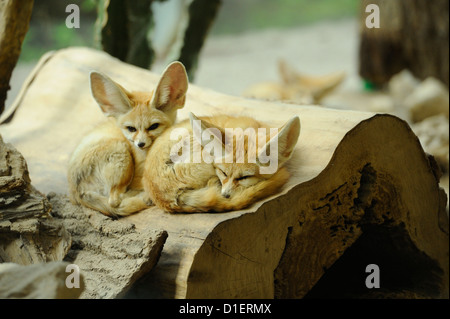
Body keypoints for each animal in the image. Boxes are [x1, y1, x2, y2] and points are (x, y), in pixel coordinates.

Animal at [67, 62, 188, 218]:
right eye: (131, 128)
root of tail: (76, 192)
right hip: (122, 153)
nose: (140, 144)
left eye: (153, 126)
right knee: (114, 201)